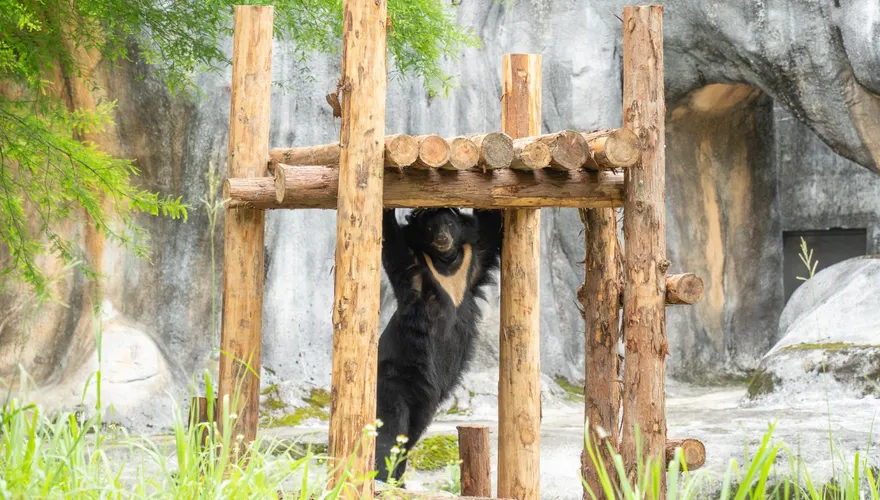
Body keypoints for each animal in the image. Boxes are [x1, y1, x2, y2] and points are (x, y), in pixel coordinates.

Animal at [374, 207, 503, 485]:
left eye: (450, 224)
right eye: (431, 228)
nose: (443, 238)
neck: (445, 262)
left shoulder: (474, 261)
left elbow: (491, 226)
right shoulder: (412, 267)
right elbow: (390, 238)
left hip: (425, 402)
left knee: (411, 433)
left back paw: (397, 481)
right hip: (393, 377)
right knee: (391, 429)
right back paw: (381, 478)